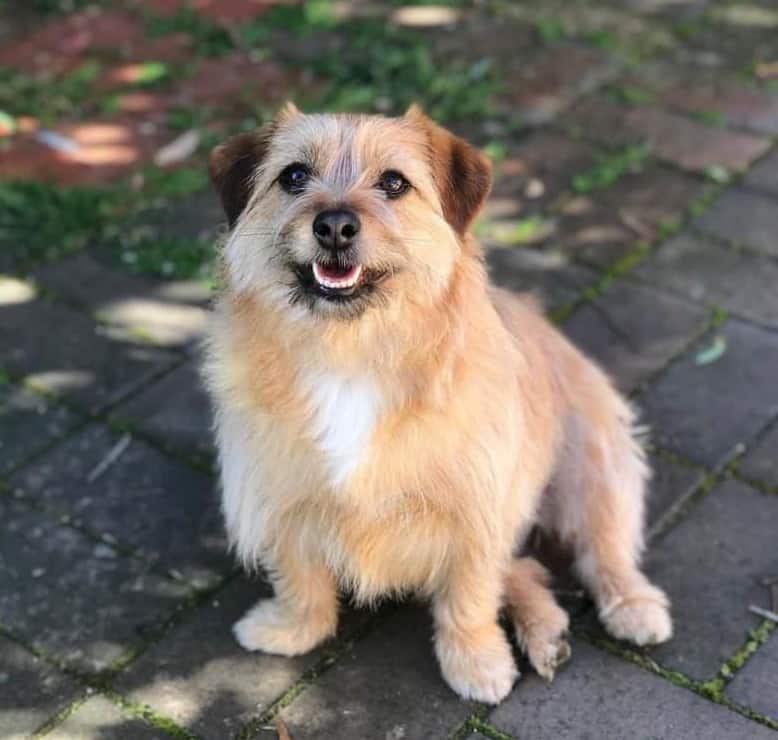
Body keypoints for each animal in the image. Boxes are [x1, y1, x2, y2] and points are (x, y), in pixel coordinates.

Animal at [203, 105, 668, 704]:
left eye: (394, 183)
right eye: (294, 176)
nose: (334, 225)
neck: (350, 352)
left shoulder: (478, 508)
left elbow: (470, 593)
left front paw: (476, 660)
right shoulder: (279, 495)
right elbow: (300, 578)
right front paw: (292, 628)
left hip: (595, 470)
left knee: (604, 549)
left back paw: (631, 607)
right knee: (525, 568)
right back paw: (546, 629)